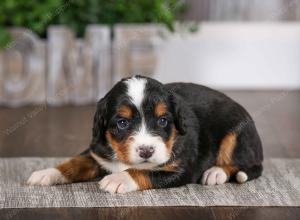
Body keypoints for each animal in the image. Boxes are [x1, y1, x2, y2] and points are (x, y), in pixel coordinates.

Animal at [27, 75, 262, 192]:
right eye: (122, 123)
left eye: (163, 121)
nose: (146, 151)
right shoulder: (97, 152)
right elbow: (74, 163)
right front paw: (47, 173)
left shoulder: (180, 169)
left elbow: (145, 172)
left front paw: (119, 178)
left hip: (237, 134)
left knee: (245, 164)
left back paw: (215, 173)